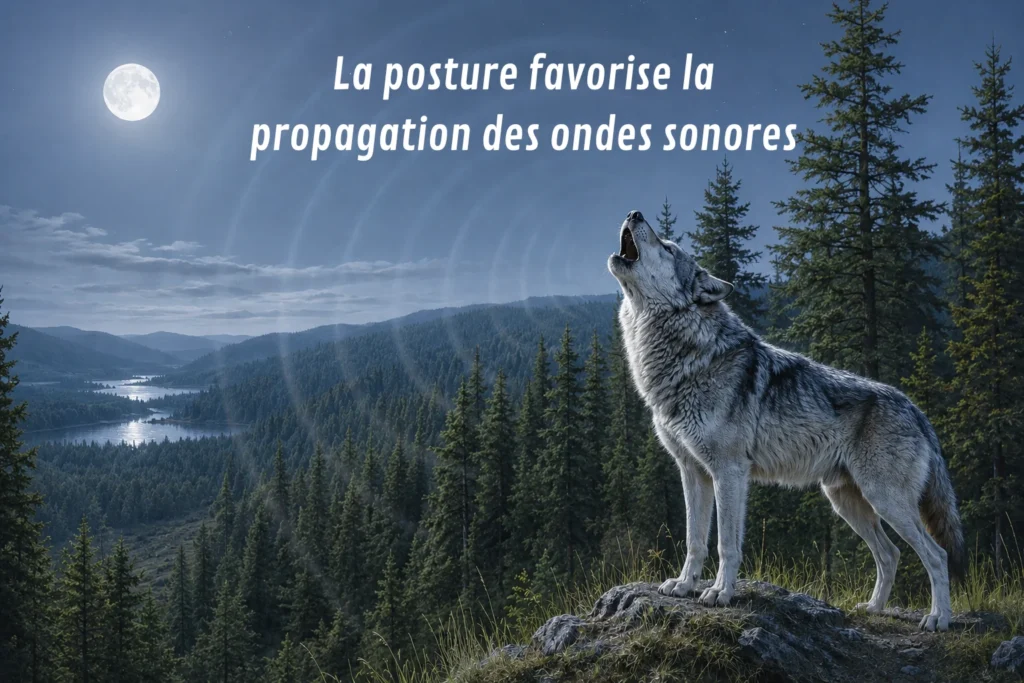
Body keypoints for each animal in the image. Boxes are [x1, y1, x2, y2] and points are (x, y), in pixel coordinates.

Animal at [607, 210, 966, 631]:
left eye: (667, 247)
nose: (634, 213)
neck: (686, 357)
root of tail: (916, 409)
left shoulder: (729, 472)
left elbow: (726, 543)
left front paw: (720, 594)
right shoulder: (692, 472)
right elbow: (695, 540)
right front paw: (683, 586)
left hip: (885, 500)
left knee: (936, 554)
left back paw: (938, 619)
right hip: (847, 502)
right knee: (890, 554)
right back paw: (874, 608)